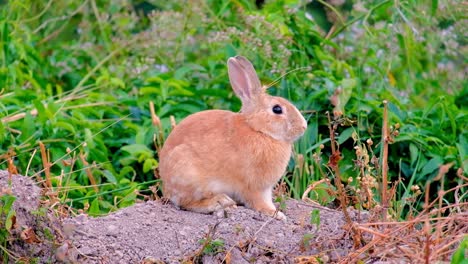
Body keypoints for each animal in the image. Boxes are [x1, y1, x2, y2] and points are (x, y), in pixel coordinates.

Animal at [159, 55, 308, 221]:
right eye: (277, 109)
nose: (303, 126)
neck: (258, 130)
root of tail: (166, 183)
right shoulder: (256, 187)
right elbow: (260, 202)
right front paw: (276, 214)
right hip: (189, 175)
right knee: (187, 203)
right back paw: (221, 202)